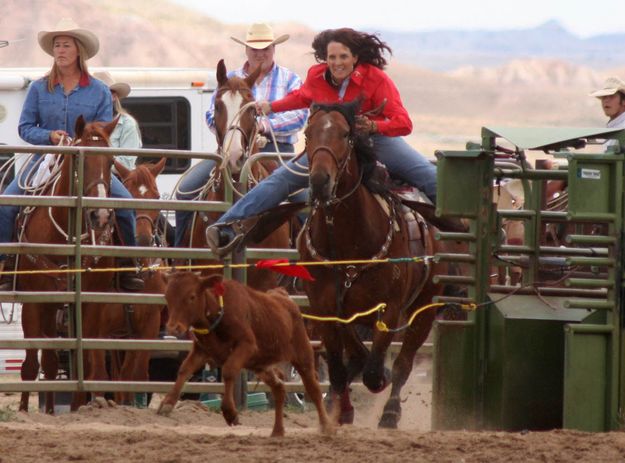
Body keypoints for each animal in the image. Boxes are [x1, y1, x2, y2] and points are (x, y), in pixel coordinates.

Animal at [16, 116, 119, 414]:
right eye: (78, 161)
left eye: (111, 161)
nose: (101, 215)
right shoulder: (34, 301)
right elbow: (31, 364)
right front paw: (24, 410)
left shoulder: (91, 301)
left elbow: (85, 359)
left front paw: (80, 406)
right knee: (46, 361)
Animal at [156, 274, 334, 436]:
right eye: (167, 296)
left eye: (192, 296)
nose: (173, 327)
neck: (218, 311)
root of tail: (284, 297)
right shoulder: (201, 350)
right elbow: (184, 370)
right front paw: (167, 403)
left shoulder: (247, 346)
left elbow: (228, 371)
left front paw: (230, 413)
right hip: (261, 366)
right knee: (279, 388)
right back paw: (277, 431)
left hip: (303, 355)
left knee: (314, 389)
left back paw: (326, 426)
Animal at [298, 101, 448, 428]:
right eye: (308, 133)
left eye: (345, 133)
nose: (320, 182)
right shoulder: (326, 309)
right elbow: (341, 365)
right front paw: (339, 411)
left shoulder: (389, 310)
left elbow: (375, 372)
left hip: (425, 307)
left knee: (404, 362)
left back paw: (391, 412)